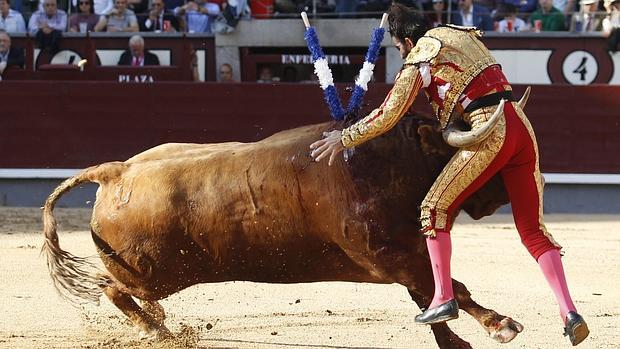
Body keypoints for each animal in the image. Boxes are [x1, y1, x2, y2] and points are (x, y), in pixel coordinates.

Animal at [42, 115, 524, 348]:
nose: (510, 188)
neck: (385, 162)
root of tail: (115, 172)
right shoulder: (391, 256)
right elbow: (451, 289)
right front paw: (501, 325)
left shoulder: (405, 254)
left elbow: (433, 298)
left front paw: (458, 342)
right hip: (154, 273)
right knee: (114, 289)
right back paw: (158, 332)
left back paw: (158, 323)